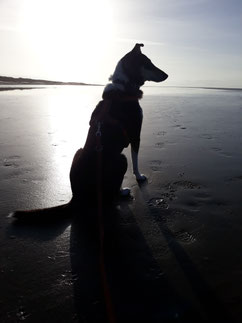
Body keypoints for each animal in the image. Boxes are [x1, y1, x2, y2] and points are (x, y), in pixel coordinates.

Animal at [12, 43, 168, 220]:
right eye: (148, 64)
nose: (167, 75)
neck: (124, 86)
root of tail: (77, 198)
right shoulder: (135, 134)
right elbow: (135, 161)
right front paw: (140, 177)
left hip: (78, 151)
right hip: (120, 159)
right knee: (111, 193)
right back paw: (122, 192)